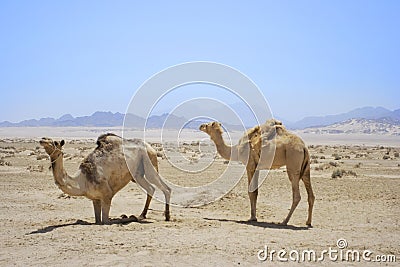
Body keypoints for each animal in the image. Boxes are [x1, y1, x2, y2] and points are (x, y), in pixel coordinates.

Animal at [39, 133, 171, 224]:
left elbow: (106, 221)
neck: (82, 180)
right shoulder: (95, 199)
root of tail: (150, 147)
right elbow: (98, 220)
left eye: (55, 142)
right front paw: (128, 216)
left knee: (165, 188)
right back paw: (142, 215)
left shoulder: (107, 195)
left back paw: (167, 217)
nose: (42, 139)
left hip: (149, 162)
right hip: (137, 174)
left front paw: (126, 217)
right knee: (151, 188)